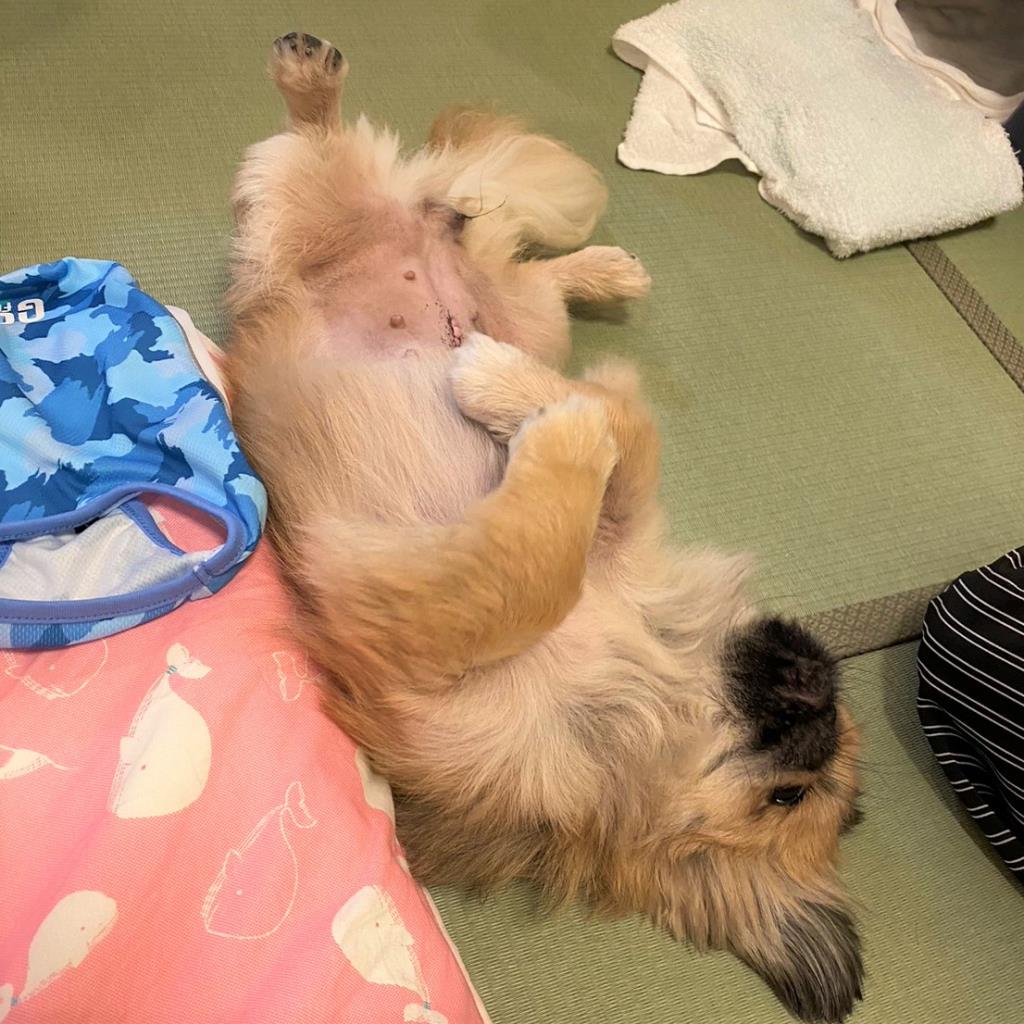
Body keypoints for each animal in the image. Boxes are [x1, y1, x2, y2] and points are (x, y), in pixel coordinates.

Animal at [223, 32, 864, 1023]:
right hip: (499, 298)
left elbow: (536, 557)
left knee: (370, 182)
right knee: (491, 243)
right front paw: (520, 396)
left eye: (789, 799)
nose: (821, 676)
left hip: (363, 248)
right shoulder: (618, 526)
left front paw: (546, 425)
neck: (640, 662)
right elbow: (620, 439)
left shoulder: (420, 630)